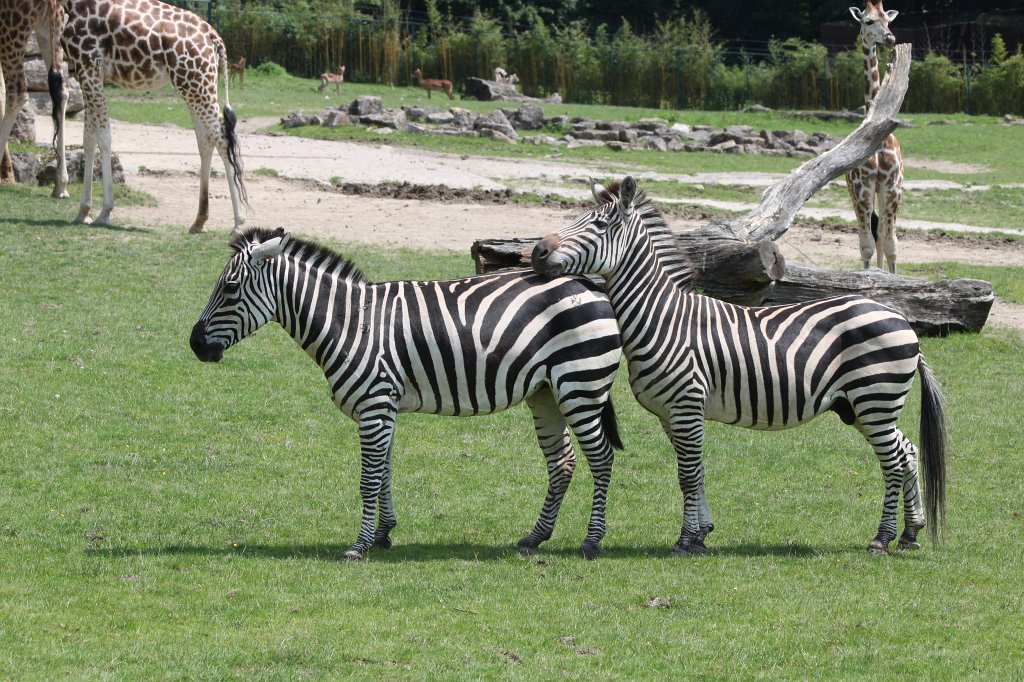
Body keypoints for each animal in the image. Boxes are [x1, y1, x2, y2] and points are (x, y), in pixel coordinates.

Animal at [189, 227, 624, 560]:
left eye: (229, 289)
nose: (194, 345)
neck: (350, 323)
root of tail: (587, 283)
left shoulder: (374, 405)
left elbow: (368, 478)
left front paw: (359, 546)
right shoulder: (384, 408)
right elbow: (384, 472)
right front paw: (383, 534)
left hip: (580, 385)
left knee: (601, 458)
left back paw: (591, 542)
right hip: (546, 392)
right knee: (563, 462)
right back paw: (535, 537)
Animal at [531, 176, 947, 556]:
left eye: (600, 225)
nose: (536, 251)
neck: (663, 319)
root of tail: (900, 318)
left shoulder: (686, 404)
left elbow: (687, 474)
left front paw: (685, 541)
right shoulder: (670, 412)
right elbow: (696, 471)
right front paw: (701, 534)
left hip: (874, 397)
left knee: (892, 462)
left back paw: (882, 538)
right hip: (862, 406)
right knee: (907, 452)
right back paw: (910, 532)